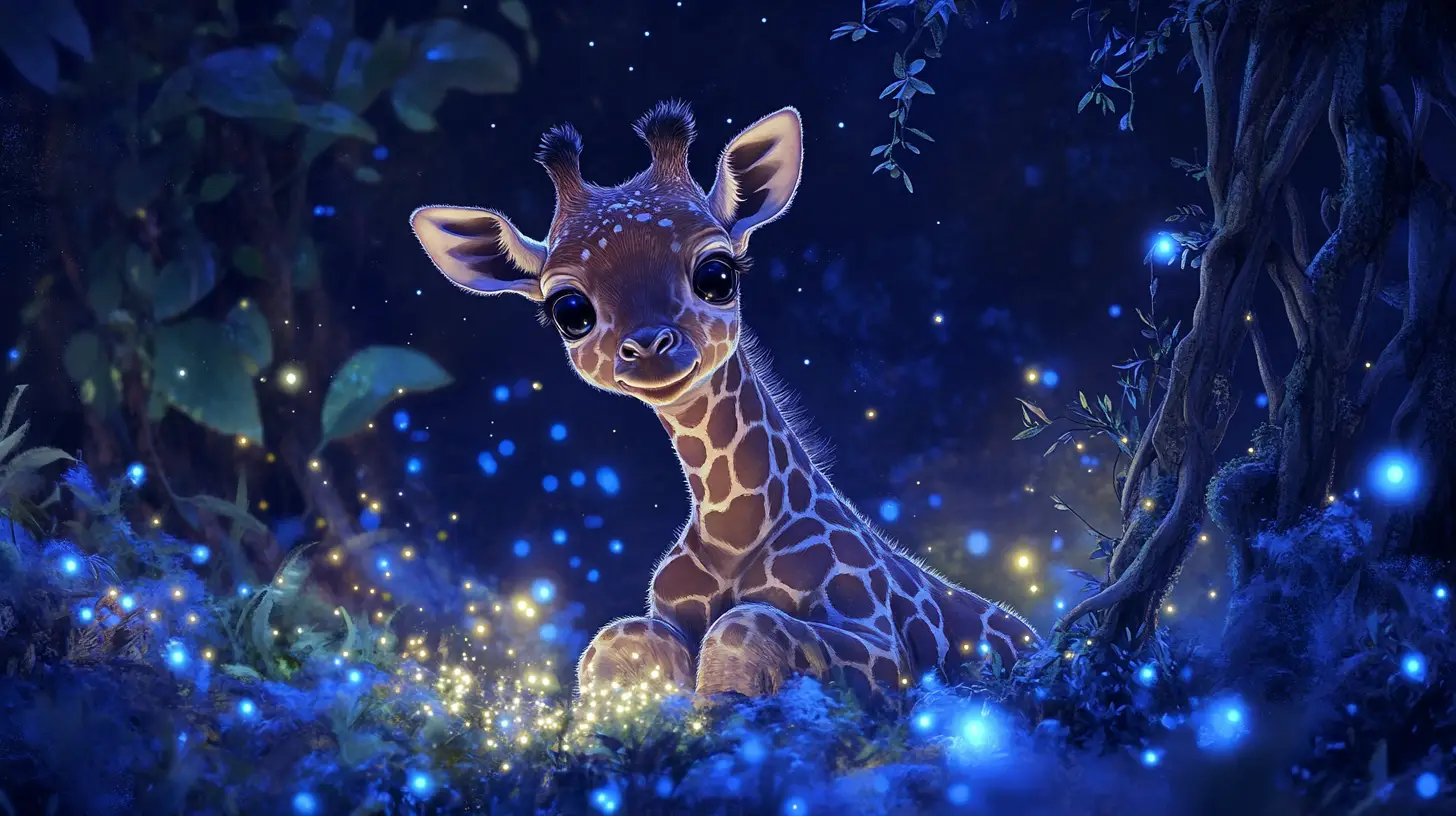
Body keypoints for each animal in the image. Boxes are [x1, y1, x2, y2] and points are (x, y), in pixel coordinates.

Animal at [410, 100, 1039, 704]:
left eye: (717, 273)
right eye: (570, 310)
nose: (649, 348)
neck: (730, 534)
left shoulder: (885, 645)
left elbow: (742, 629)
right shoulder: (660, 619)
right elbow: (614, 642)